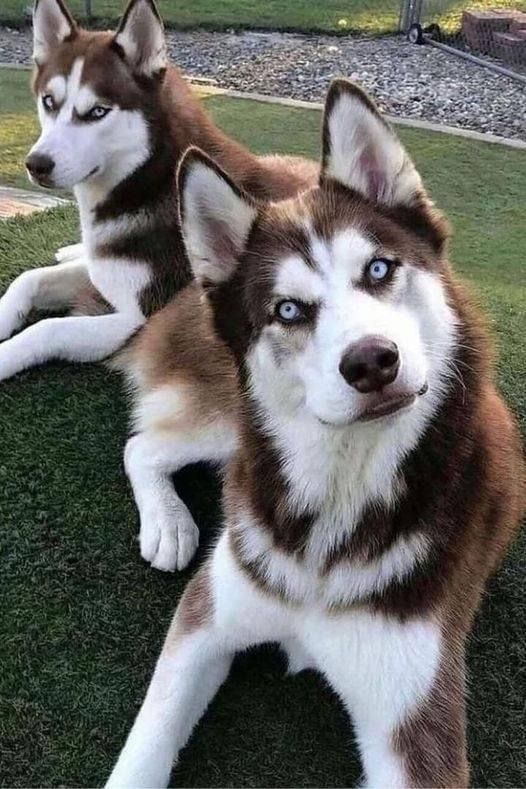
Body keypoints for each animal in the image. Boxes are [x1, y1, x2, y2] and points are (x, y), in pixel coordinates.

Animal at [106, 81, 524, 788]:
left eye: (379, 270)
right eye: (288, 309)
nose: (371, 361)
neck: (337, 501)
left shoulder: (415, 723)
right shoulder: (207, 618)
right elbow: (143, 749)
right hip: (232, 424)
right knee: (143, 444)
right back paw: (169, 523)